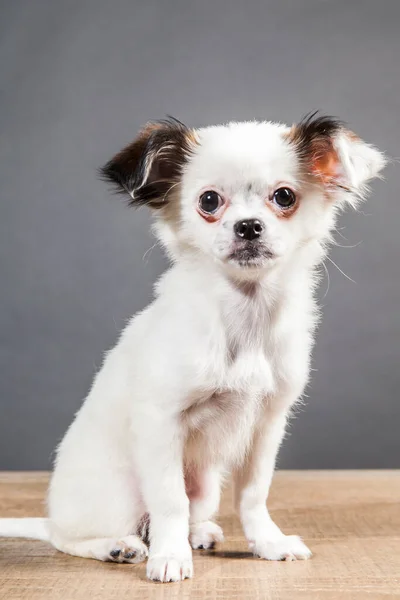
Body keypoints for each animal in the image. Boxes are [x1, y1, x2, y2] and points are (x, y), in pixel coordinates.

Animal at [0, 112, 386, 580]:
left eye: (284, 196)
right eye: (209, 201)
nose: (248, 226)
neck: (245, 316)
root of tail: (52, 515)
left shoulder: (266, 424)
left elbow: (253, 494)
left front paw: (268, 542)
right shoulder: (161, 422)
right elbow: (169, 501)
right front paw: (169, 558)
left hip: (206, 485)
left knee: (190, 511)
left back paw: (199, 533)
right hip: (115, 497)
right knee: (71, 538)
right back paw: (119, 546)